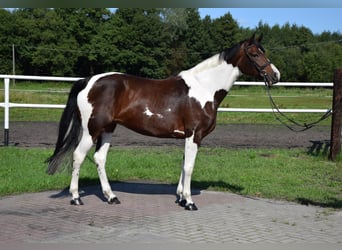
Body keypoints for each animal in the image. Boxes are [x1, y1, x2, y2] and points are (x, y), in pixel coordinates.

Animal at [46, 34, 280, 210]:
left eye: (264, 51)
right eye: (254, 53)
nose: (275, 75)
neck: (205, 87)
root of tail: (88, 81)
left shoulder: (188, 137)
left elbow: (184, 165)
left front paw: (181, 198)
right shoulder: (195, 135)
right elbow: (190, 167)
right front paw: (189, 202)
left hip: (108, 129)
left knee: (99, 158)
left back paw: (111, 197)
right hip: (91, 130)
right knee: (78, 156)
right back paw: (76, 198)